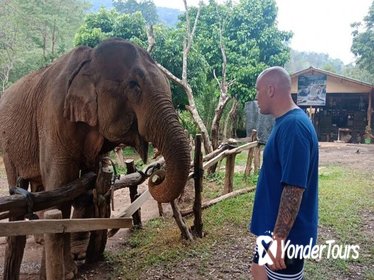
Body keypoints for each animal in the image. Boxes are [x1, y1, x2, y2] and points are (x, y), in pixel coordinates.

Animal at [0, 37, 191, 280]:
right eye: (134, 86)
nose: (155, 173)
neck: (89, 60)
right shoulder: (53, 117)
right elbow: (61, 185)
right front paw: (66, 272)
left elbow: (87, 186)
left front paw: (78, 257)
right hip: (8, 146)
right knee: (20, 180)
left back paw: (41, 238)